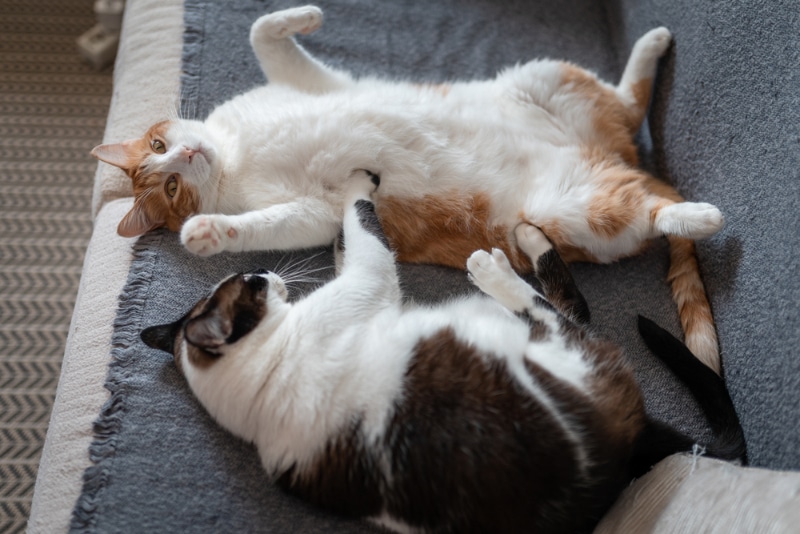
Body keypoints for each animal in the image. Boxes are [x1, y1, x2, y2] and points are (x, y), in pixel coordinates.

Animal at [94, 5, 724, 372]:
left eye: (160, 147)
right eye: (170, 186)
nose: (186, 155)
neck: (234, 149)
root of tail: (621, 158)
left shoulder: (314, 84)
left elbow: (263, 33)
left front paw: (306, 16)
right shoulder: (316, 210)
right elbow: (256, 226)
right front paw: (205, 232)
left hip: (544, 77)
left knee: (629, 101)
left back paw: (652, 42)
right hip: (576, 210)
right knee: (651, 206)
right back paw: (703, 215)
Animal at [142, 173, 744, 534]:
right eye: (250, 285)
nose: (265, 271)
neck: (255, 389)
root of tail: (630, 446)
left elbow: (351, 237)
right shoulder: (369, 279)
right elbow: (362, 220)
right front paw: (356, 180)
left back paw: (524, 238)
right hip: (560, 357)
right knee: (560, 312)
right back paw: (502, 261)